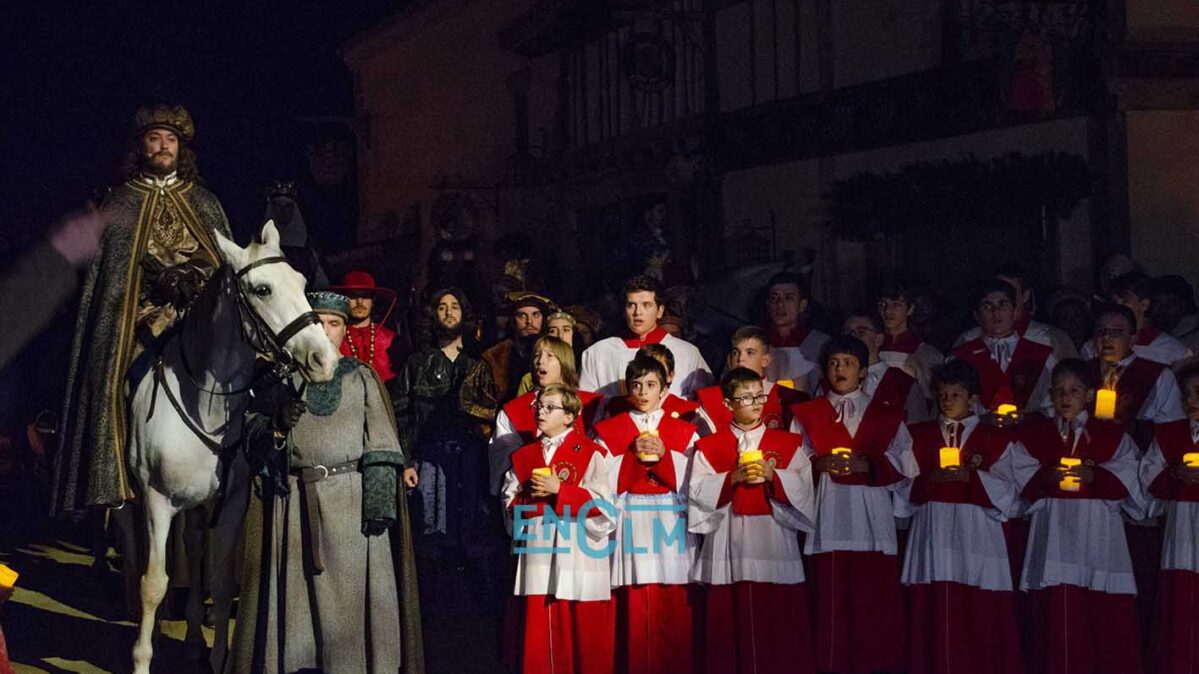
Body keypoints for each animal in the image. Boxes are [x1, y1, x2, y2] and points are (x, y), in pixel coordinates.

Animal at [126, 221, 340, 671]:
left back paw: (192, 637)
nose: (324, 359)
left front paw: (217, 655)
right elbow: (153, 583)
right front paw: (142, 659)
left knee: (193, 547)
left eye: (301, 282)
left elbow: (222, 582)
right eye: (262, 289)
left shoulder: (231, 503)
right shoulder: (155, 501)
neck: (203, 403)